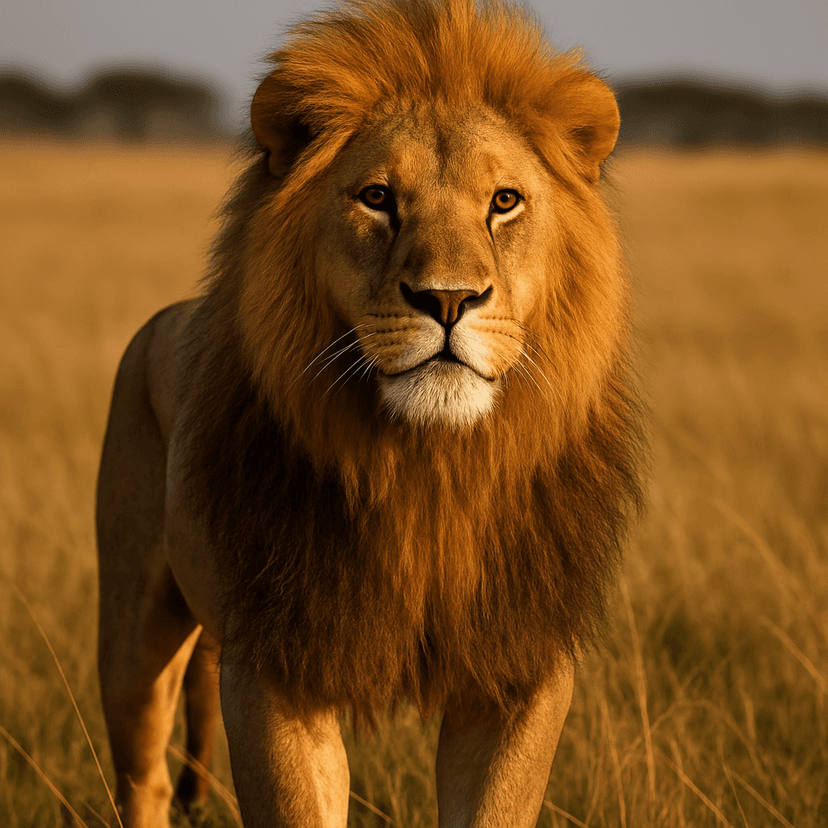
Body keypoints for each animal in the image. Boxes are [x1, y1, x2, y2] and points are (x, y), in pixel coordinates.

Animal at [96, 0, 643, 825]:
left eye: (504, 201)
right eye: (378, 198)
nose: (448, 299)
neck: (429, 468)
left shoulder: (519, 667)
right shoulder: (275, 668)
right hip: (131, 631)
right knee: (146, 778)